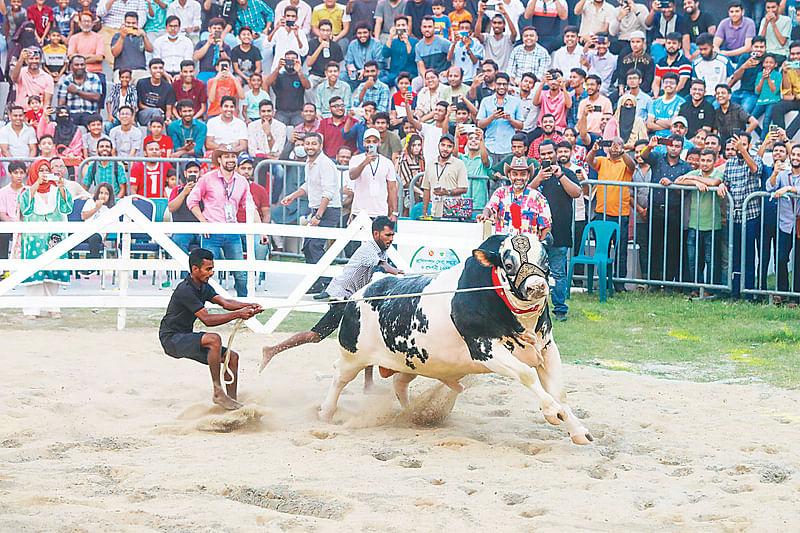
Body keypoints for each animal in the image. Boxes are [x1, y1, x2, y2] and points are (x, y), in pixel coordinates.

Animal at [320, 233, 592, 444]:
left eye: (545, 259)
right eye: (508, 263)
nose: (536, 286)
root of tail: (365, 290)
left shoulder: (547, 348)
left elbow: (559, 391)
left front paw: (578, 430)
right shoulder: (485, 349)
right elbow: (526, 374)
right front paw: (552, 411)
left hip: (413, 359)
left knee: (399, 382)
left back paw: (411, 414)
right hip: (353, 355)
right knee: (338, 376)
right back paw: (326, 412)